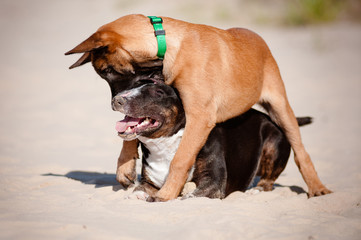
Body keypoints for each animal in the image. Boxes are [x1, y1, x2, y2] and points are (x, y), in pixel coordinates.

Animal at [114, 79, 310, 200]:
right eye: (132, 86)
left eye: (159, 92)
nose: (117, 100)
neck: (168, 144)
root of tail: (271, 119)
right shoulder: (149, 181)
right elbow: (139, 188)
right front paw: (136, 195)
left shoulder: (214, 183)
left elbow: (191, 196)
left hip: (273, 143)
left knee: (268, 182)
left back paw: (255, 191)